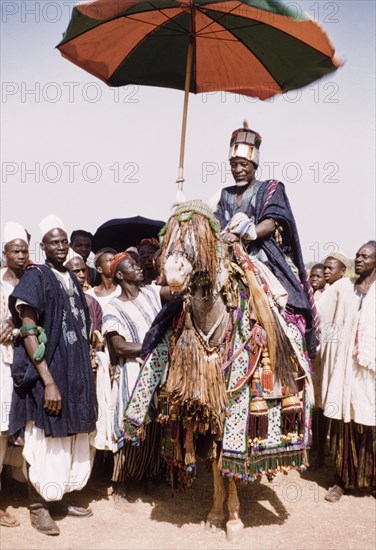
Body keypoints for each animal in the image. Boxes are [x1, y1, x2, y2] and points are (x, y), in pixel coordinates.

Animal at [125, 201, 312, 540]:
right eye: (169, 235)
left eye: (199, 237)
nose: (173, 273)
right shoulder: (203, 408)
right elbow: (214, 462)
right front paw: (215, 513)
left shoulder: (232, 406)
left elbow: (229, 462)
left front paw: (233, 519)